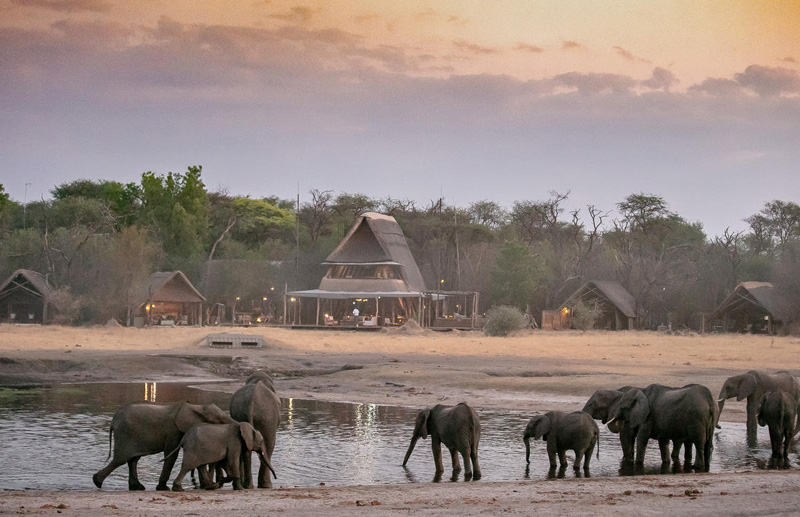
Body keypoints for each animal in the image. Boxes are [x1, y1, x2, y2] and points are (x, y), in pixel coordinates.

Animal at [94, 402, 233, 490]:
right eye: (221, 421)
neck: (197, 406)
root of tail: (113, 421)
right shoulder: (173, 431)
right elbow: (171, 455)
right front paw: (163, 488)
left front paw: (210, 486)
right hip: (125, 434)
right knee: (120, 459)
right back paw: (97, 482)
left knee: (132, 460)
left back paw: (137, 487)